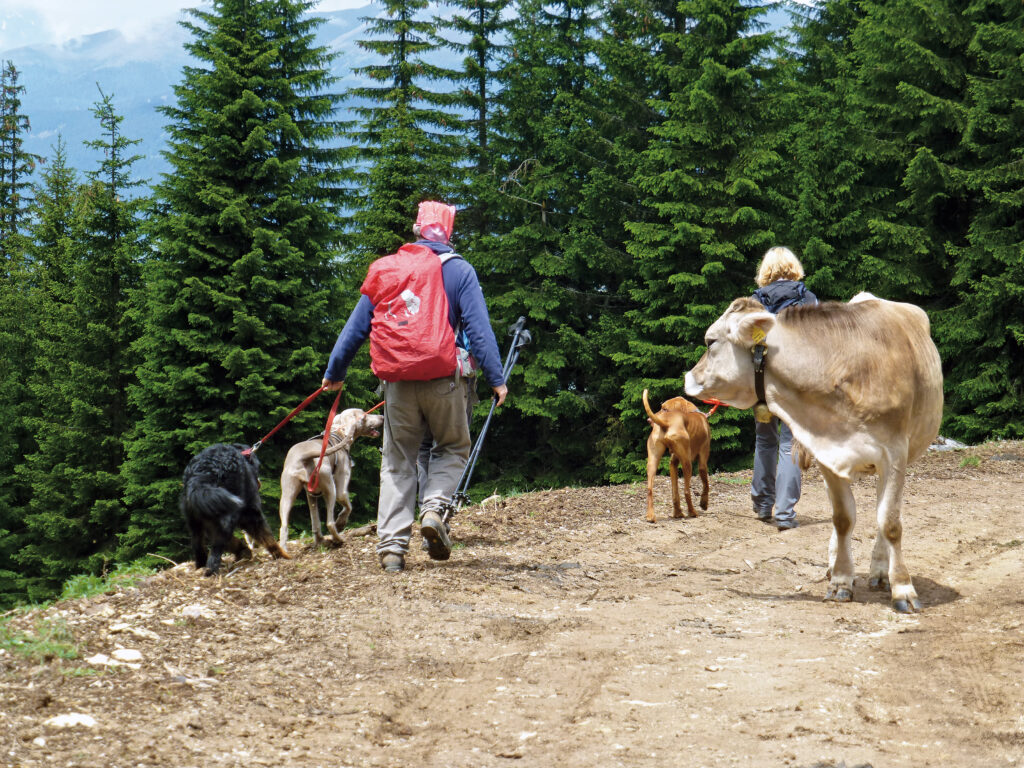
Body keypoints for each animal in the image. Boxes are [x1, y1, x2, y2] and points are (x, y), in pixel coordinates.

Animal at [180, 442, 290, 573]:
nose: (259, 482)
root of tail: (202, 473)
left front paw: (242, 551)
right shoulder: (251, 512)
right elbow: (268, 538)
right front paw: (282, 555)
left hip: (195, 519)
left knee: (198, 543)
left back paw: (201, 566)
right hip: (229, 513)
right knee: (216, 549)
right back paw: (212, 571)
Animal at [638, 391, 712, 524]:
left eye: (665, 409)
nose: (648, 420)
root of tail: (666, 423)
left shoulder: (673, 463)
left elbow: (675, 492)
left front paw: (677, 513)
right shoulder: (703, 461)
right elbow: (706, 484)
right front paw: (704, 503)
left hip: (652, 461)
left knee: (650, 489)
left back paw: (650, 516)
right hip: (687, 463)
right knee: (687, 491)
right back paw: (692, 512)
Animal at [684, 292, 937, 614]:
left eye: (710, 342)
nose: (688, 377)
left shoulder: (894, 454)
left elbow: (890, 522)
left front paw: (903, 588)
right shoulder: (827, 453)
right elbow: (842, 518)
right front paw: (841, 580)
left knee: (883, 514)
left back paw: (880, 571)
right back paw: (836, 562)